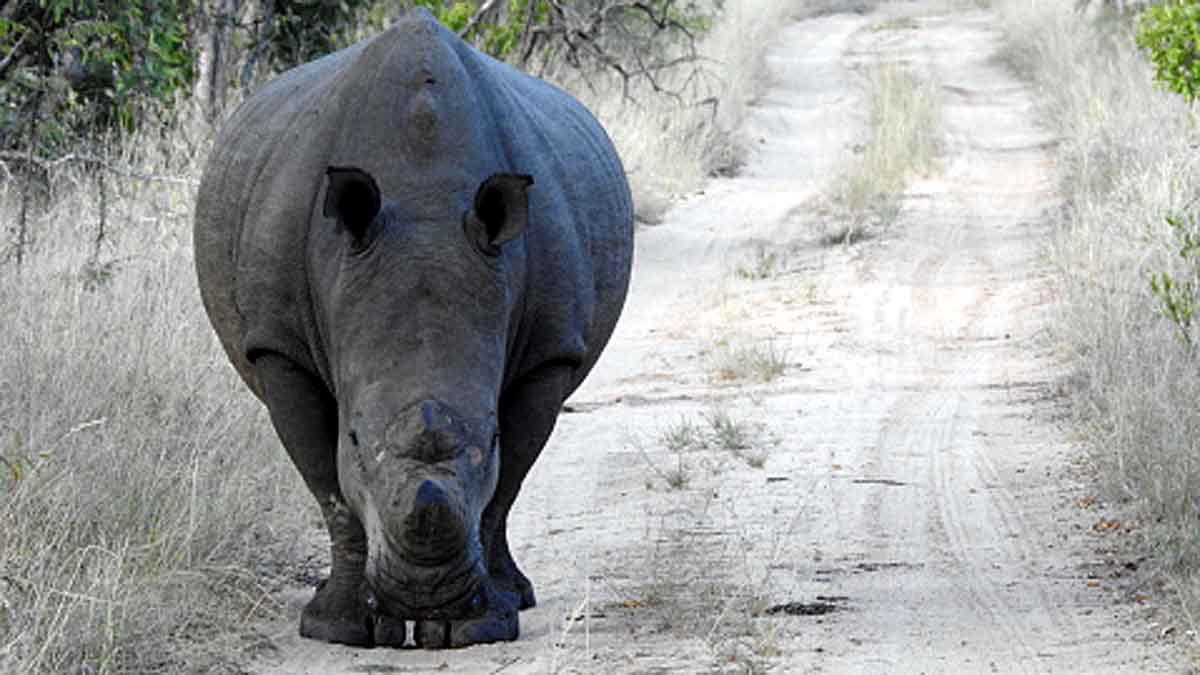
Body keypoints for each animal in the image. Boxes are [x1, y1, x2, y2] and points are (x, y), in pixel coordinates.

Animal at [193, 9, 633, 648]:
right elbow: (329, 487)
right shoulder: (279, 345)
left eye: (492, 437)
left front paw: (477, 627)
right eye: (354, 438)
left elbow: (505, 484)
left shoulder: (551, 350)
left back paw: (516, 597)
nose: (426, 595)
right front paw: (338, 629)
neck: (423, 194)